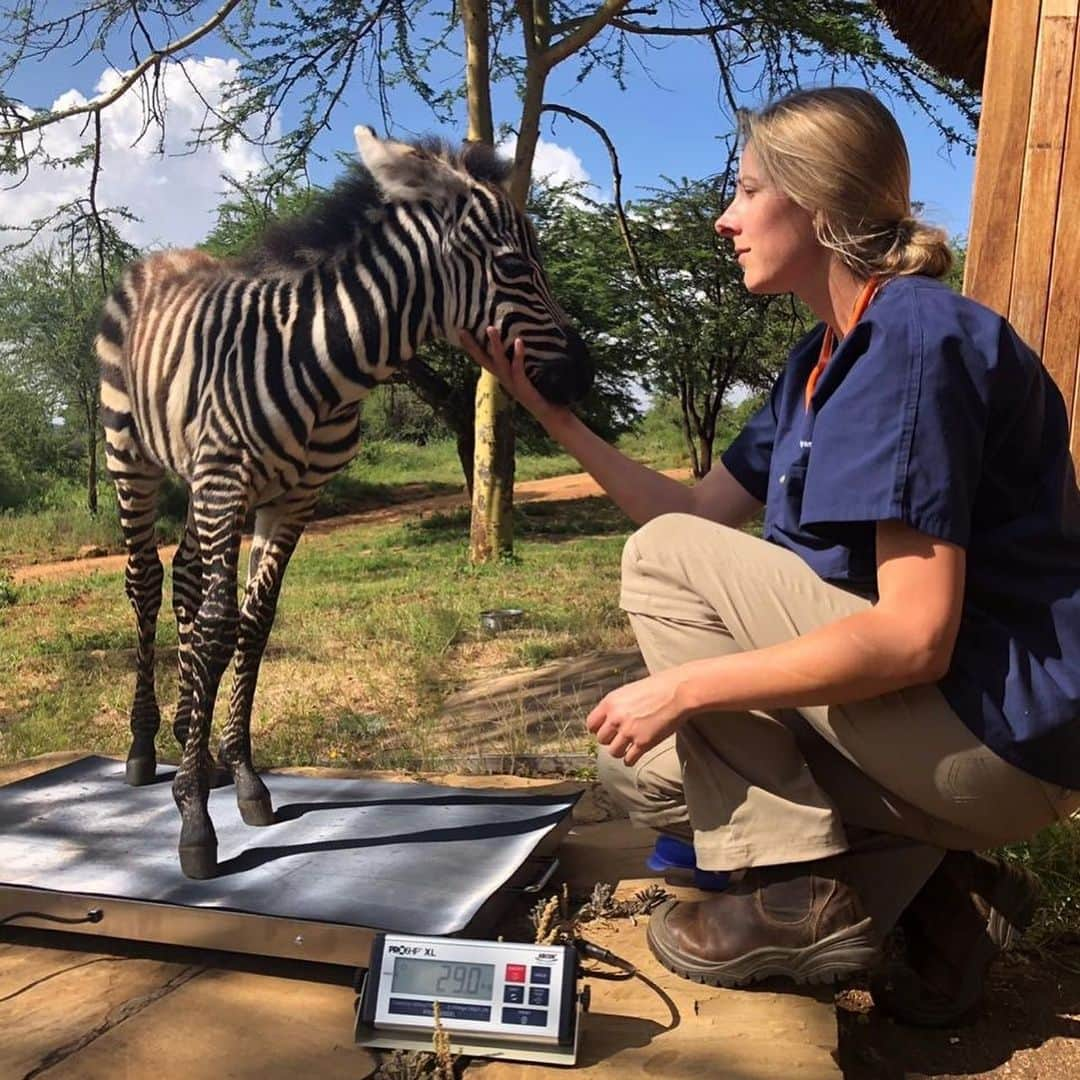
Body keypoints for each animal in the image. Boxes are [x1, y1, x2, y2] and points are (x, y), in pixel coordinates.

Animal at [97, 130, 596, 881]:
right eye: (514, 264)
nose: (583, 376)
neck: (326, 363)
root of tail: (160, 258)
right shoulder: (228, 481)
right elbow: (217, 626)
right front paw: (193, 818)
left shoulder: (294, 499)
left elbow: (253, 627)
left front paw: (242, 775)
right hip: (133, 457)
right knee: (148, 582)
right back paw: (142, 744)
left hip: (202, 482)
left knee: (184, 576)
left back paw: (194, 735)